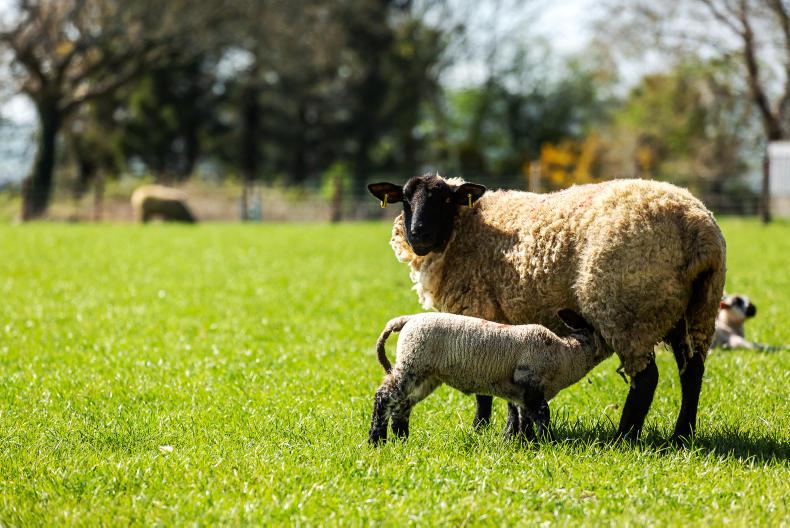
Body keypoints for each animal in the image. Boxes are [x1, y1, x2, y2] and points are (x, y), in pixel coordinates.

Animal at [368, 309, 610, 445]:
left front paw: (525, 443)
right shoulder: (530, 382)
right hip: (412, 361)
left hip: (426, 376)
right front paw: (545, 442)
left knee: (402, 404)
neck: (565, 354)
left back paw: (401, 439)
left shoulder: (521, 393)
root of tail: (407, 320)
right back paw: (376, 440)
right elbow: (542, 414)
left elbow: (524, 418)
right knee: (384, 396)